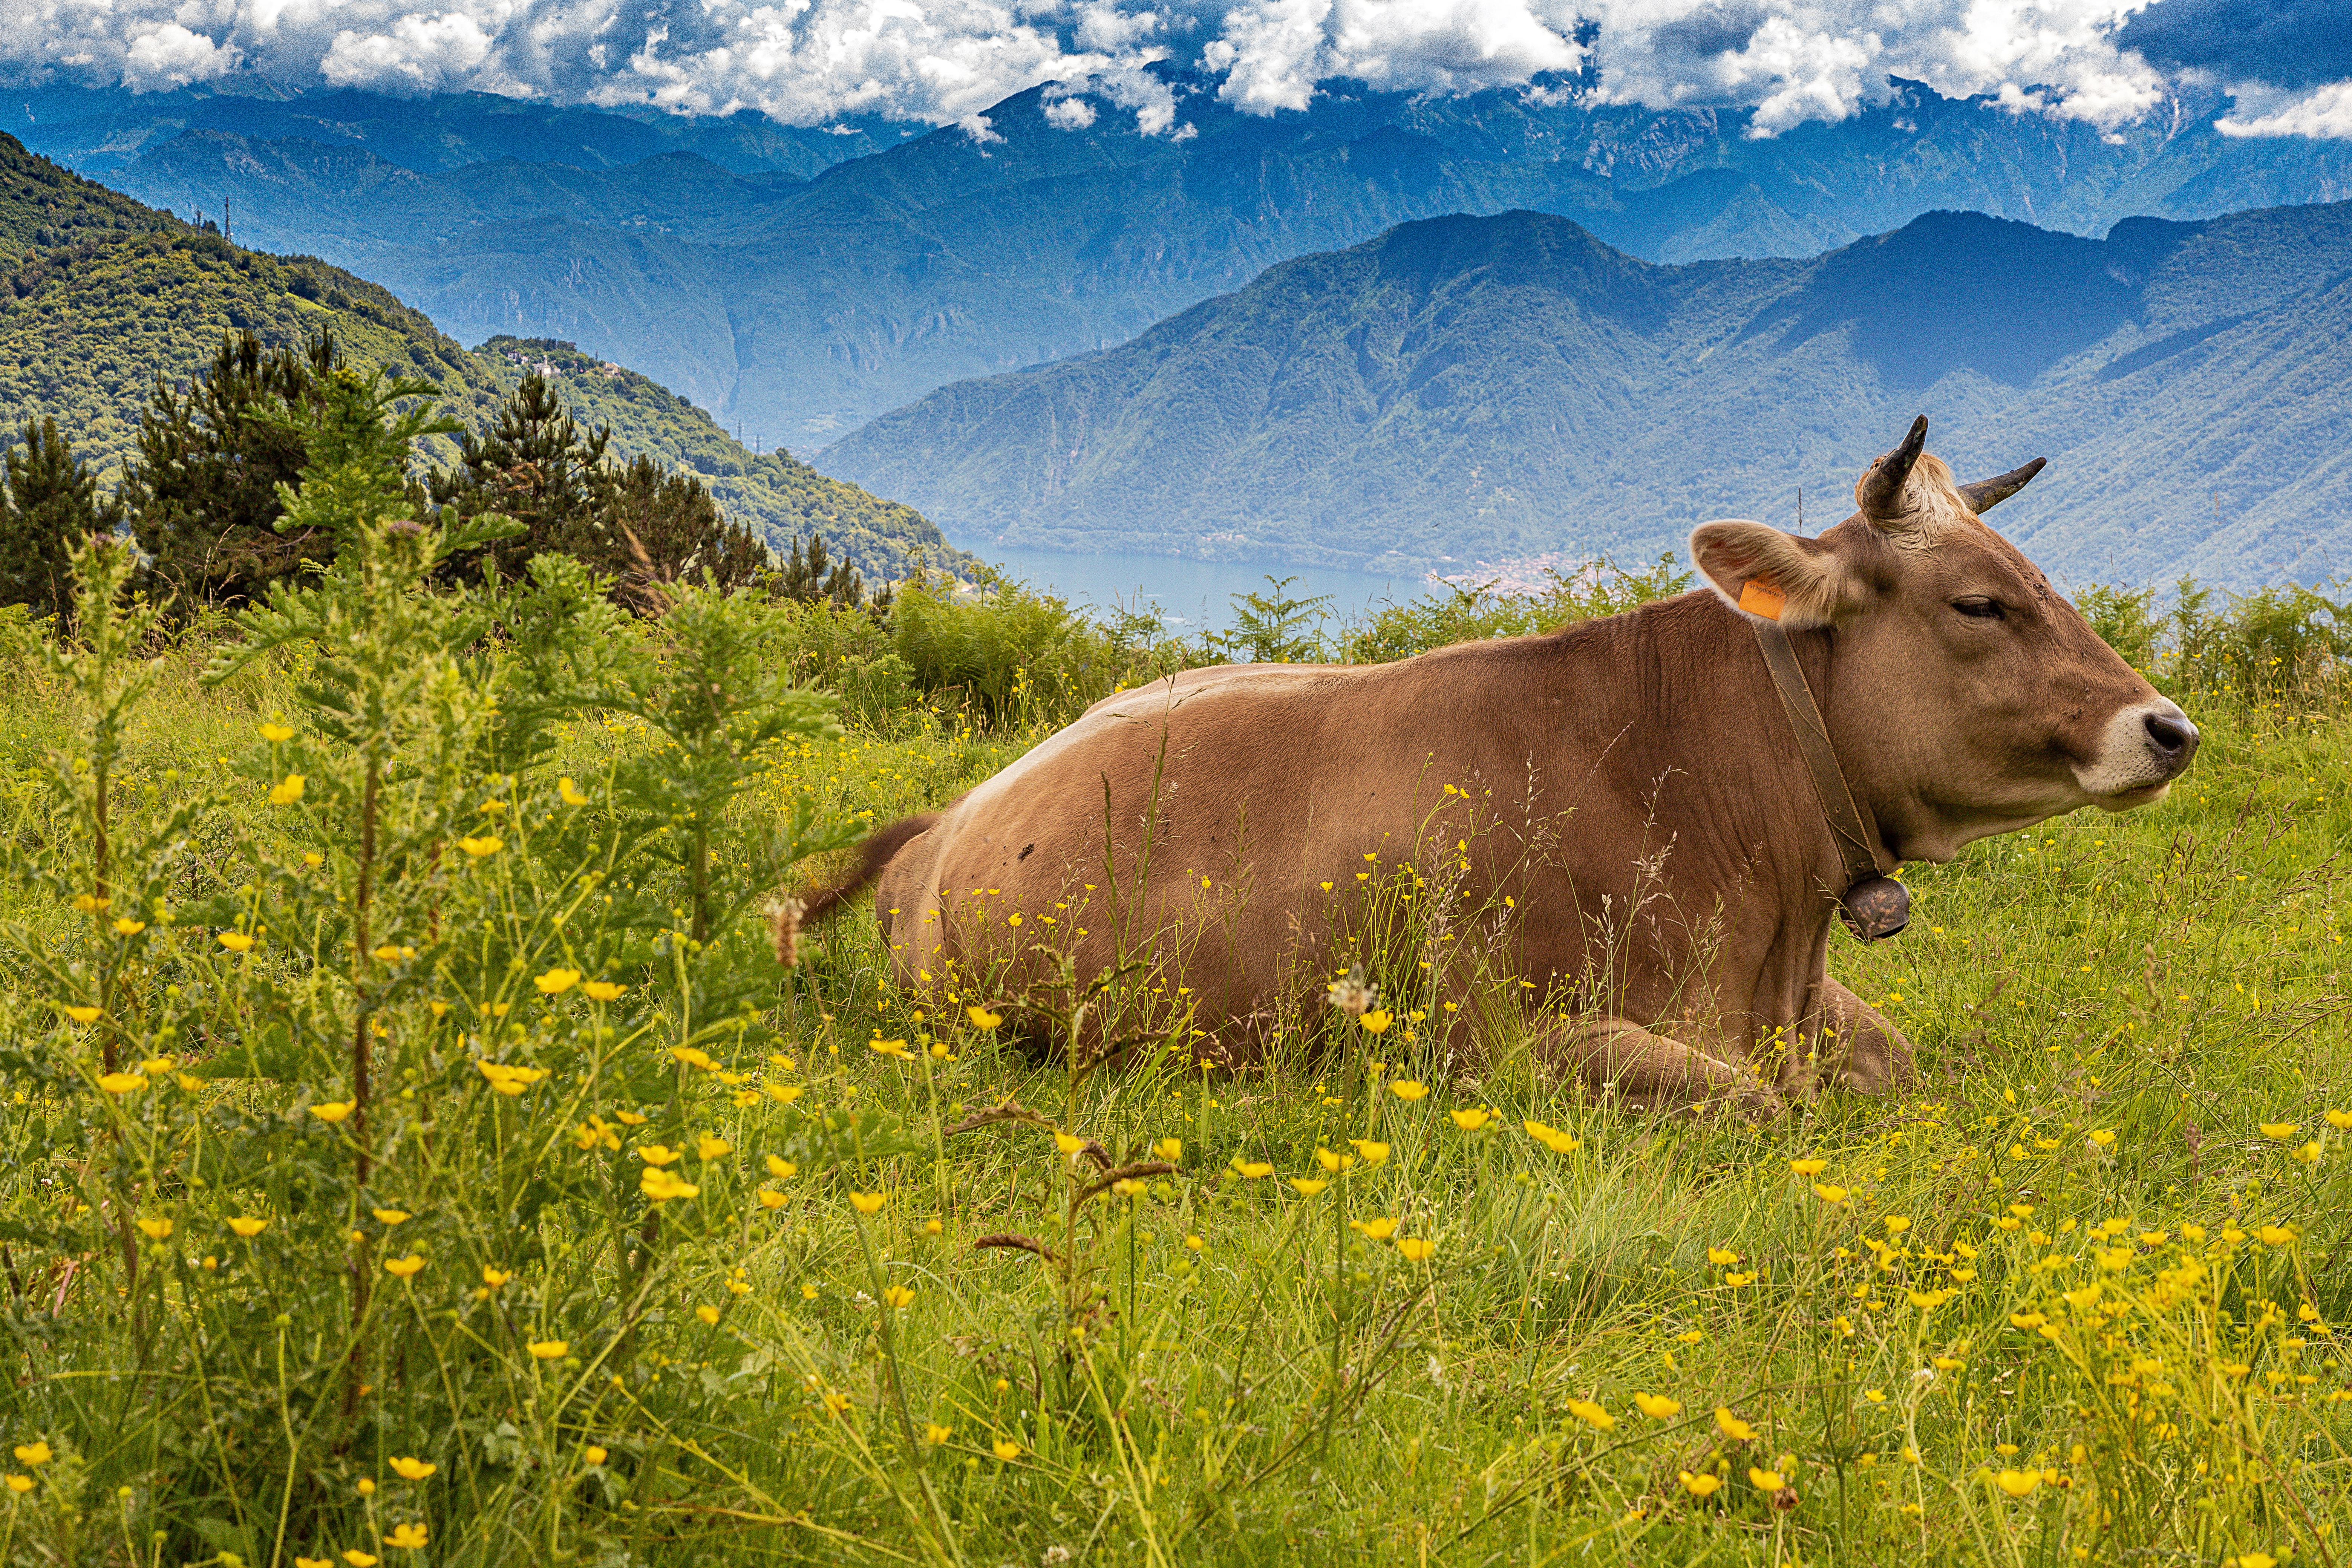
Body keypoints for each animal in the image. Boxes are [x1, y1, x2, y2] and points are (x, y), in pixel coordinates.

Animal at [801, 419, 2198, 1114]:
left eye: (2039, 581)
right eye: (1978, 604)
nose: (2169, 728)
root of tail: (947, 822)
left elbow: (1897, 1065)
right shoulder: (1508, 1043)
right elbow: (1759, 1109)